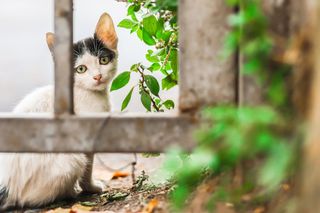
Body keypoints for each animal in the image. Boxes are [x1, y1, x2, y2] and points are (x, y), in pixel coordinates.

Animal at [0, 12, 118, 210]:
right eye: (81, 69)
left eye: (103, 60)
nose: (97, 76)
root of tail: (8, 186)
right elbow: (88, 167)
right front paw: (90, 187)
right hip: (72, 159)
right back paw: (68, 193)